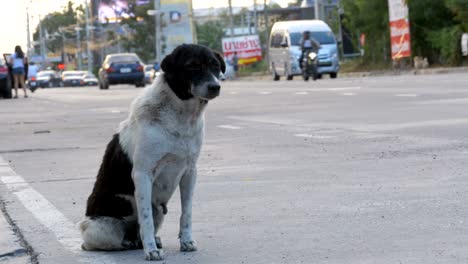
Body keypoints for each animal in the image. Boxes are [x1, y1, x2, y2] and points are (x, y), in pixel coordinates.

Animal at [79, 44, 226, 260]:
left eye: (215, 66)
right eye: (192, 66)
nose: (215, 86)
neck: (180, 116)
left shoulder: (190, 172)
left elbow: (186, 213)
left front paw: (186, 241)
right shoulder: (142, 174)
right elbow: (145, 219)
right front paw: (151, 250)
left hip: (158, 210)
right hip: (102, 230)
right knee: (108, 241)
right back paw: (133, 242)